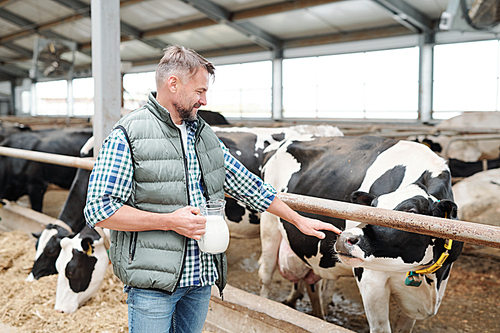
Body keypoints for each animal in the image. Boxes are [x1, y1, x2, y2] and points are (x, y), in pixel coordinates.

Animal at [260, 136, 462, 332]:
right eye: (372, 207)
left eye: (411, 212)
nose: (344, 239)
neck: (430, 284)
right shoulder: (371, 281)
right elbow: (381, 329)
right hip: (269, 225)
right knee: (266, 274)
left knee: (313, 283)